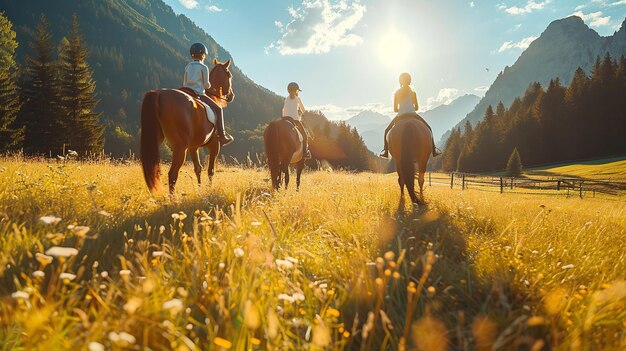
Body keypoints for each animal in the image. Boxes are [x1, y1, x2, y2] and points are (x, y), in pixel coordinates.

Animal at [141, 58, 234, 194]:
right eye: (229, 75)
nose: (231, 95)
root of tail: (160, 94)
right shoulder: (214, 145)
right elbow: (210, 171)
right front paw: (208, 190)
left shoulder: (193, 147)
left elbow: (198, 168)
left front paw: (199, 189)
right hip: (180, 147)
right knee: (172, 174)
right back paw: (172, 198)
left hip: (156, 141)